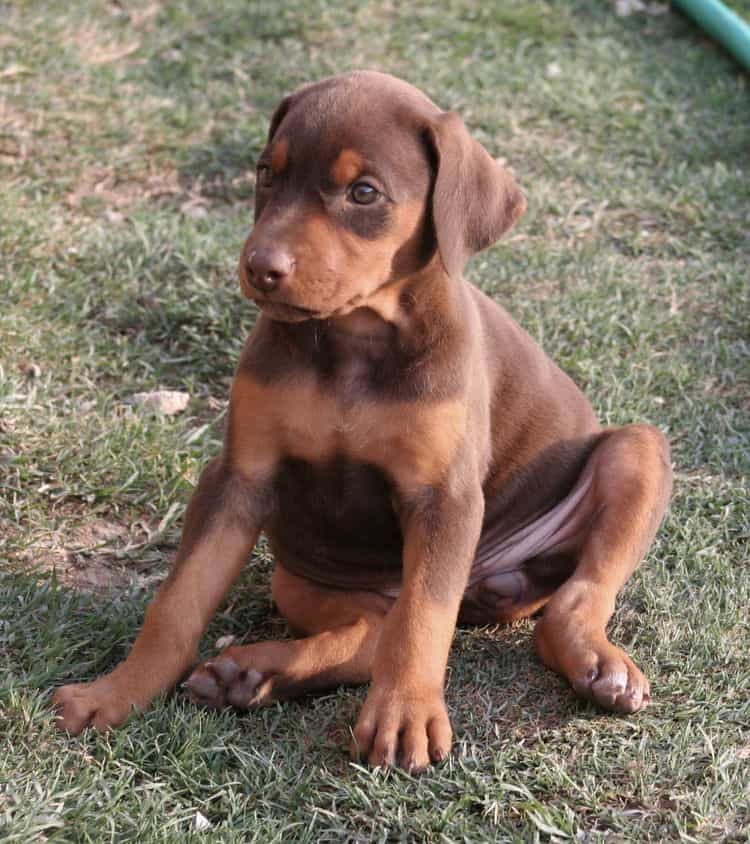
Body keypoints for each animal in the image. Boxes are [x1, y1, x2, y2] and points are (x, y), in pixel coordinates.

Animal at [54, 72, 676, 772]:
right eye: (266, 174)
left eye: (364, 193)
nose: (260, 267)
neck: (355, 338)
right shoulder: (239, 475)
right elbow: (177, 602)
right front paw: (114, 694)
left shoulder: (445, 497)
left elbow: (422, 620)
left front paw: (404, 716)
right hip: (298, 577)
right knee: (370, 629)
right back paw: (254, 674)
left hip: (635, 453)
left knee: (567, 598)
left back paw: (598, 663)